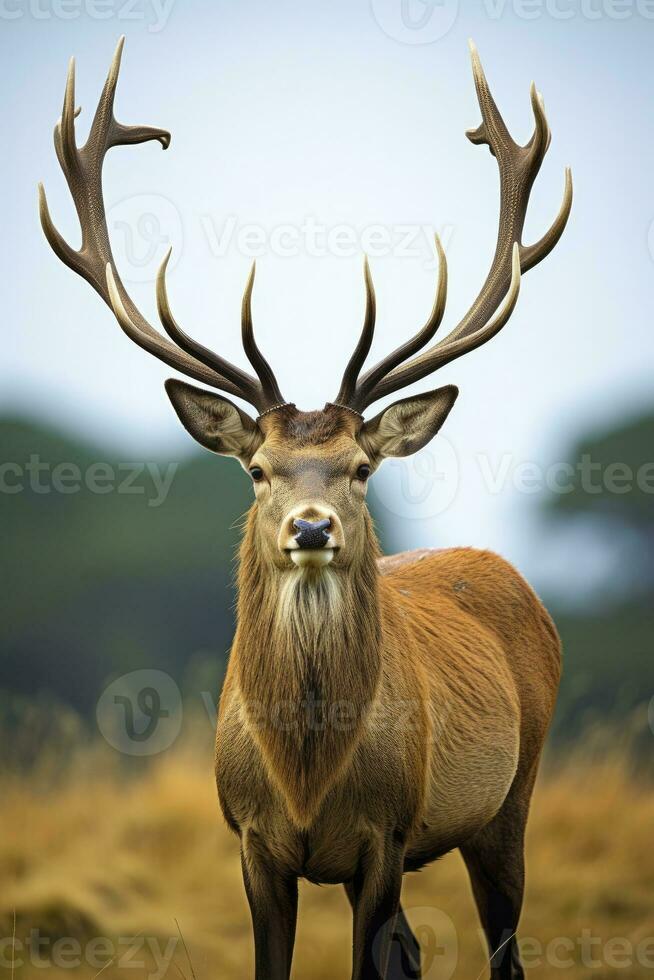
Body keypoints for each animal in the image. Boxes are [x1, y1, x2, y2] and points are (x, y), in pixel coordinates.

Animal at [41, 36, 576, 980]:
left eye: (360, 468)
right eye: (258, 469)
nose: (312, 526)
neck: (306, 779)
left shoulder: (388, 836)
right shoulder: (252, 843)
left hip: (510, 800)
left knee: (505, 947)